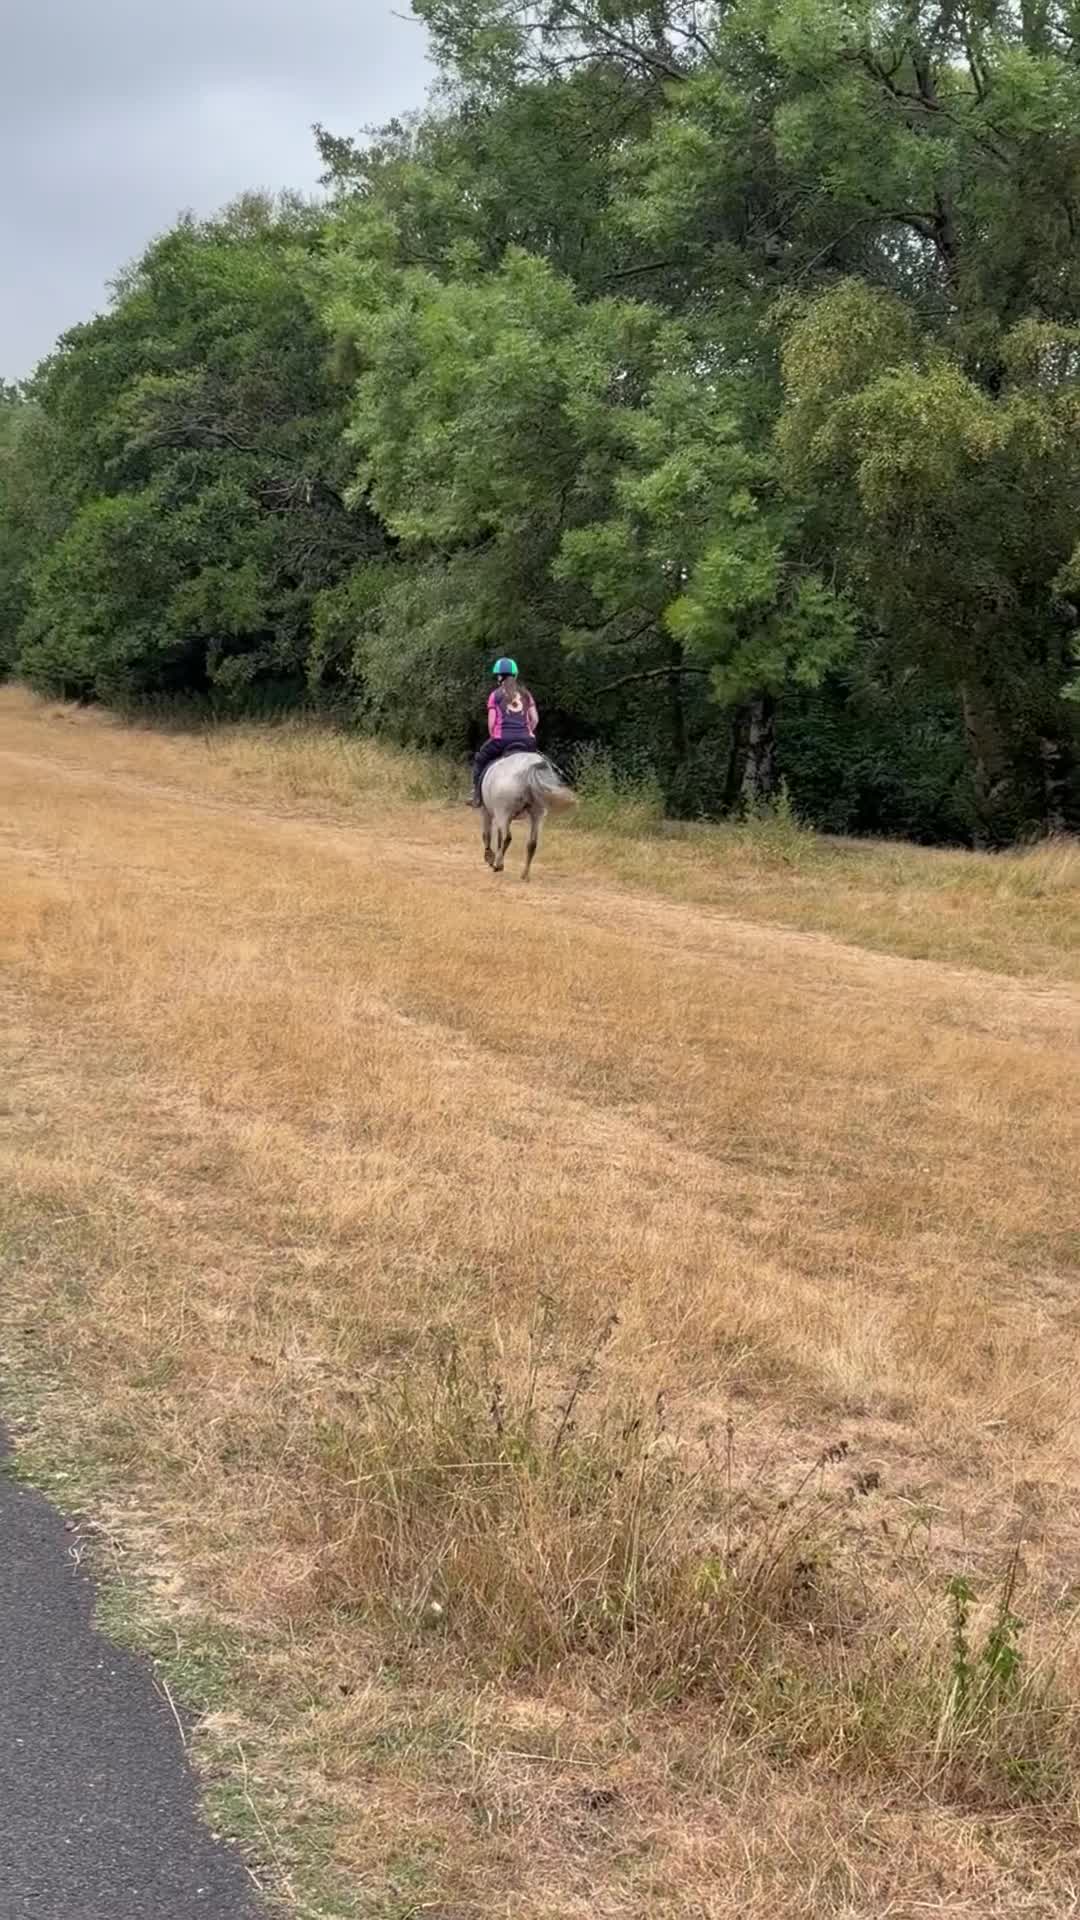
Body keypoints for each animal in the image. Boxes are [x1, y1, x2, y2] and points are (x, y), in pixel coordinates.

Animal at [480, 751, 576, 881]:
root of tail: (529, 768)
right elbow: (498, 836)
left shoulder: (487, 812)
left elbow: (487, 834)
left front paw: (490, 857)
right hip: (536, 814)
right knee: (532, 843)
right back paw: (524, 874)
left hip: (503, 812)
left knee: (507, 837)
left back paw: (498, 864)